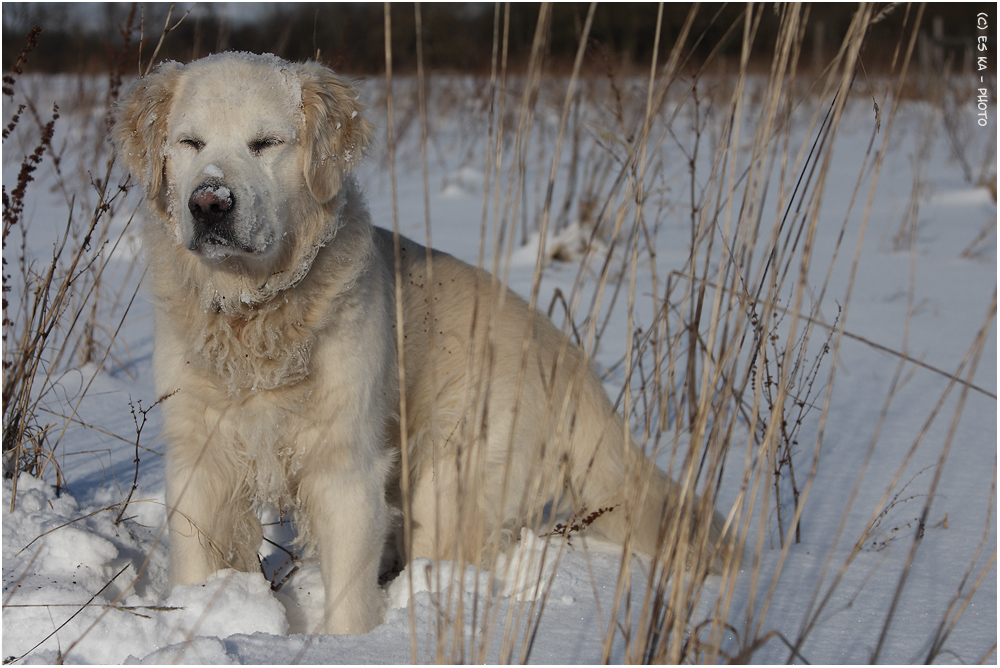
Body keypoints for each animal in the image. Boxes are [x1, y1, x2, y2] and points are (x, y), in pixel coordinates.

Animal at [113, 54, 732, 636]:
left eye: (265, 143)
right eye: (189, 143)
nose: (210, 202)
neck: (256, 312)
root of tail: (565, 352)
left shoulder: (346, 465)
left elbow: (348, 593)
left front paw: (348, 644)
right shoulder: (202, 457)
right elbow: (200, 559)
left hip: (450, 481)